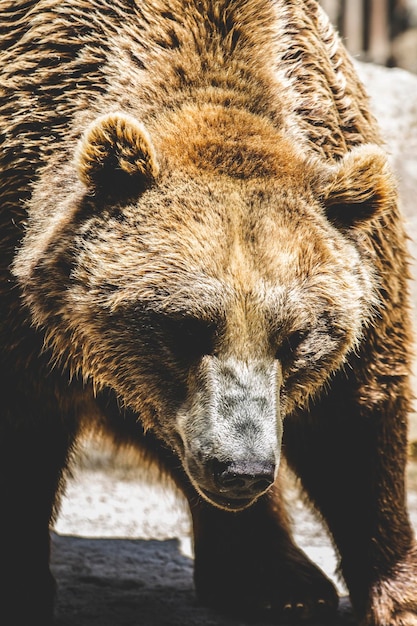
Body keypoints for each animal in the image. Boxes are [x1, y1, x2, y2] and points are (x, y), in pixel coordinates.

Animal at [0, 0, 416, 620]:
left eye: (296, 338)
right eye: (183, 328)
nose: (242, 469)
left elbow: (355, 416)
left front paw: (396, 596)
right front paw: (20, 591)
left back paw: (274, 578)